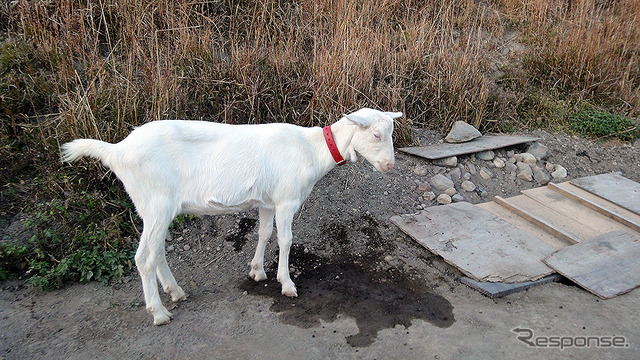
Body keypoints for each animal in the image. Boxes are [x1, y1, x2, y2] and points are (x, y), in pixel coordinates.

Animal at [60, 107, 400, 324]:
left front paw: (257, 271)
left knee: (156, 253)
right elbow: (286, 240)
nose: (389, 166)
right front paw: (287, 283)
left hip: (154, 208)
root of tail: (116, 151)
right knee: (144, 257)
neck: (312, 149)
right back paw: (159, 313)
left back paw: (176, 292)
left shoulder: (267, 201)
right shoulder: (286, 200)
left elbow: (264, 233)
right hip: (156, 203)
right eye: (376, 134)